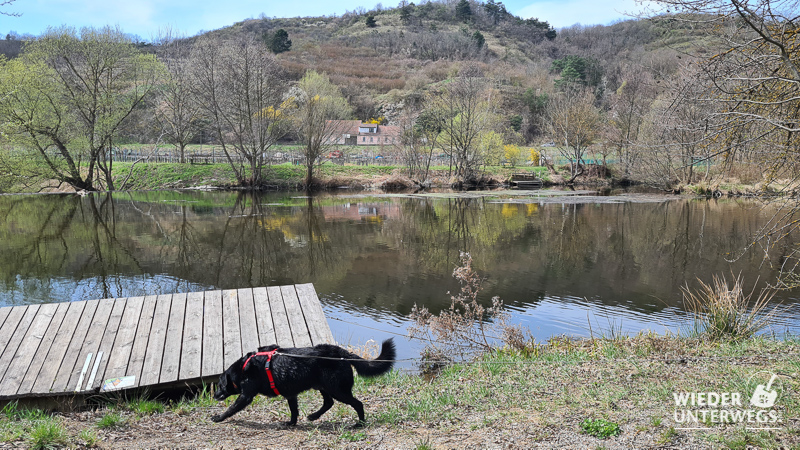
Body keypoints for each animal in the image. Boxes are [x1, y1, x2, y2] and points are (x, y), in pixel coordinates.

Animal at [212, 340, 396, 428]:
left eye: (219, 385)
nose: (214, 396)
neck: (244, 368)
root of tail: (342, 353)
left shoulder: (246, 396)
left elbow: (231, 409)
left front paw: (218, 418)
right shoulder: (290, 394)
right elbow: (294, 411)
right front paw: (291, 424)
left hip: (337, 389)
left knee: (358, 404)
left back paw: (360, 424)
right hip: (323, 386)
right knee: (328, 403)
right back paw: (314, 416)